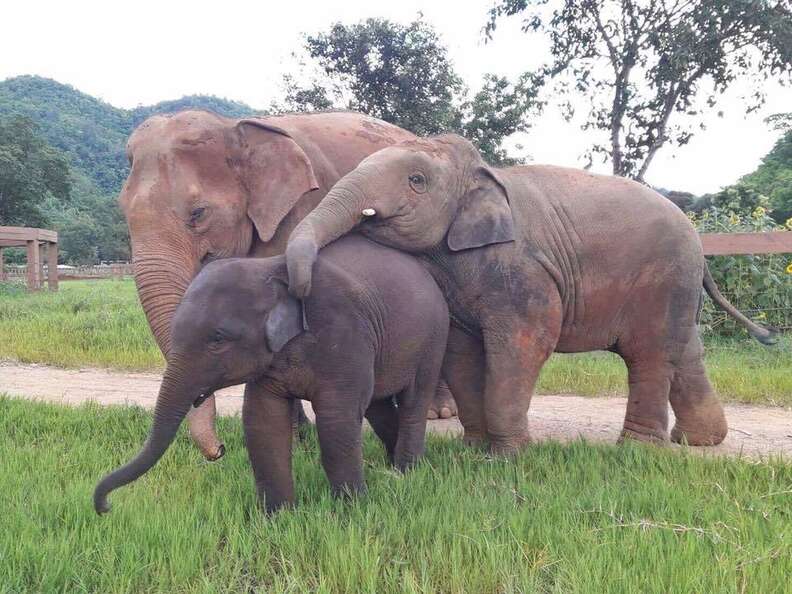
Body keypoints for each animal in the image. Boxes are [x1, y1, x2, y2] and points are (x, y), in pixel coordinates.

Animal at [94, 235, 449, 514]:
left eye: (217, 339)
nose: (105, 507)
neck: (271, 269)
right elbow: (262, 419)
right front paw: (278, 518)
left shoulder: (343, 331)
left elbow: (336, 419)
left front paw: (351, 510)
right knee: (377, 403)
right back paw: (391, 465)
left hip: (434, 335)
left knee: (415, 397)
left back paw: (406, 472)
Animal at [120, 109, 457, 461]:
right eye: (122, 211)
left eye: (198, 213)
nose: (219, 450)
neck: (232, 126)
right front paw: (298, 439)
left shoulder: (301, 209)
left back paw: (439, 412)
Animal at [285, 134, 777, 454]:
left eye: (417, 181)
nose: (300, 289)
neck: (481, 174)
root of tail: (696, 237)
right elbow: (461, 350)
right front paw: (474, 451)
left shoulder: (523, 269)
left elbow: (525, 342)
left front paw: (508, 458)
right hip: (677, 286)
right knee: (685, 349)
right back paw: (698, 442)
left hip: (663, 278)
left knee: (650, 354)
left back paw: (637, 452)